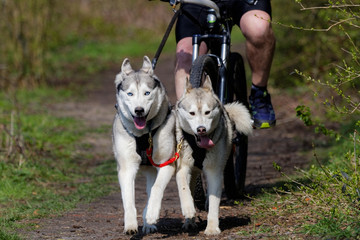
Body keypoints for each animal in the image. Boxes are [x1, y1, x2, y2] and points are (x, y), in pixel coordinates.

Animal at [112, 56, 175, 234]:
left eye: (147, 93)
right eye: (130, 93)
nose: (139, 110)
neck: (144, 134)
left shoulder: (167, 164)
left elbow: (156, 188)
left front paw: (152, 214)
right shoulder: (126, 168)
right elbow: (128, 199)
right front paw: (130, 224)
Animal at [176, 76, 252, 234]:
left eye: (207, 112)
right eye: (192, 113)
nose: (201, 129)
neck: (199, 147)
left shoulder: (214, 172)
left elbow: (213, 202)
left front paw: (212, 228)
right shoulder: (183, 167)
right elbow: (184, 188)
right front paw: (188, 209)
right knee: (190, 188)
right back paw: (189, 221)